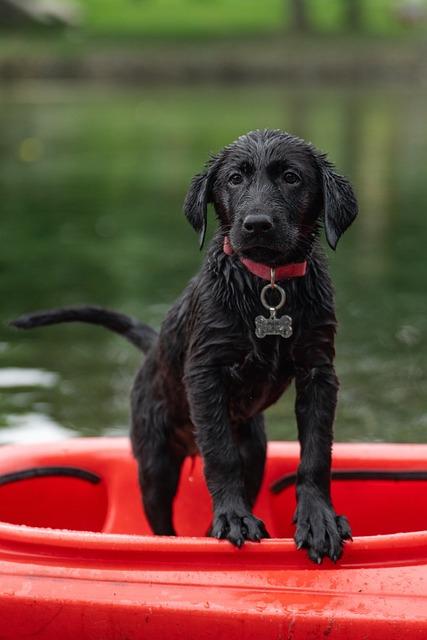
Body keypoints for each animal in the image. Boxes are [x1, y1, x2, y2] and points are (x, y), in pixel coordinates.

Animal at [11, 132, 358, 564]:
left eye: (292, 177)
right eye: (234, 178)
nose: (257, 225)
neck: (268, 285)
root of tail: (152, 349)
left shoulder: (318, 371)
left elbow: (315, 452)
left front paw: (319, 520)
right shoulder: (205, 373)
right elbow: (221, 455)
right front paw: (233, 518)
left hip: (255, 448)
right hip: (155, 465)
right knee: (162, 522)